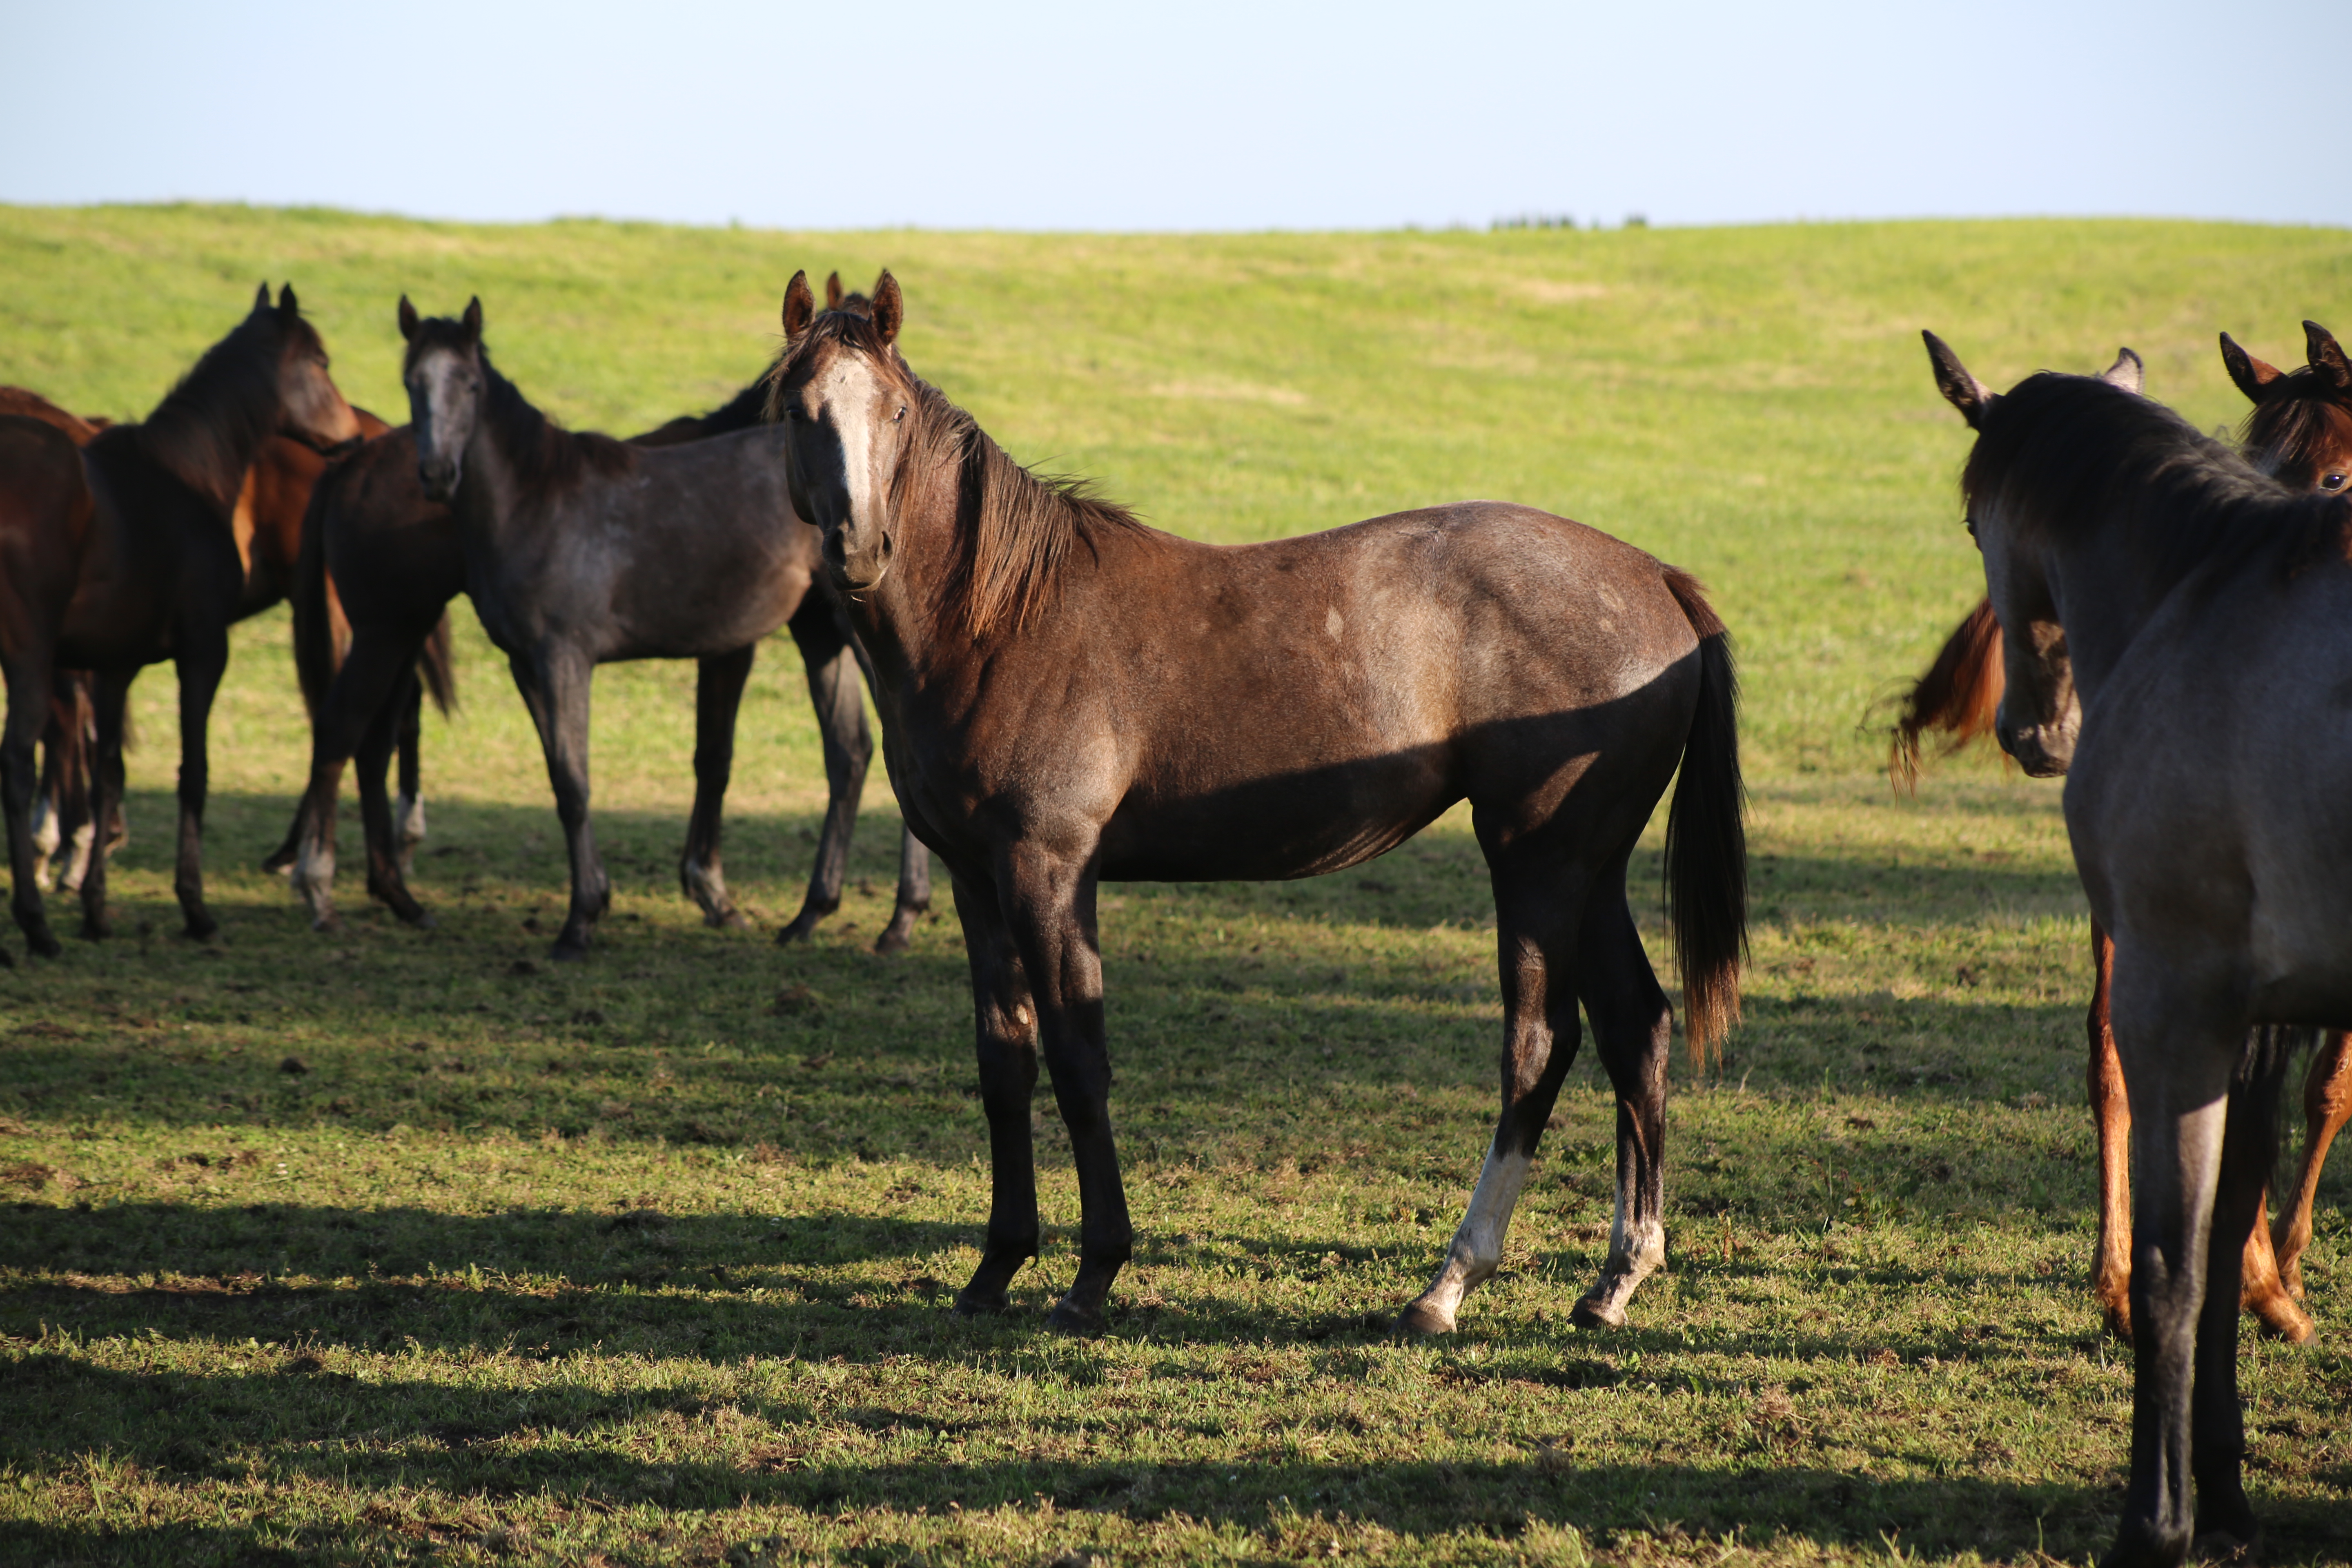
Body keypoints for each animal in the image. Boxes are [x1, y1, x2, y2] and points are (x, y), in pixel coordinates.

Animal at [0, 288, 362, 964]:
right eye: (322, 361)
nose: (351, 438)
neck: (186, 475)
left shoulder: (116, 668)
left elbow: (109, 776)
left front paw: (96, 910)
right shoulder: (202, 654)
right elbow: (192, 775)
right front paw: (195, 911)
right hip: (30, 659)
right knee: (17, 765)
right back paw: (35, 924)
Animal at [757, 270, 1750, 1335]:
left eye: (895, 412)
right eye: (798, 410)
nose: (860, 548)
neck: (998, 622)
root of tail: (1655, 578)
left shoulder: (1048, 871)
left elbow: (1077, 1058)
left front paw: (1093, 1272)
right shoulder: (976, 879)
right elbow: (1004, 1064)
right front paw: (996, 1267)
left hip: (1537, 862)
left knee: (1539, 1042)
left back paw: (1446, 1285)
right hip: (1588, 868)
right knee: (1634, 1028)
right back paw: (1614, 1279)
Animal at [1919, 331, 2352, 1568]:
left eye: (1971, 520)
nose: (2033, 733)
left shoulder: (2178, 1000)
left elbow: (2175, 1259)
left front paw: (2155, 1519)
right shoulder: (2251, 1008)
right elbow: (2220, 1236)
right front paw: (2225, 1483)